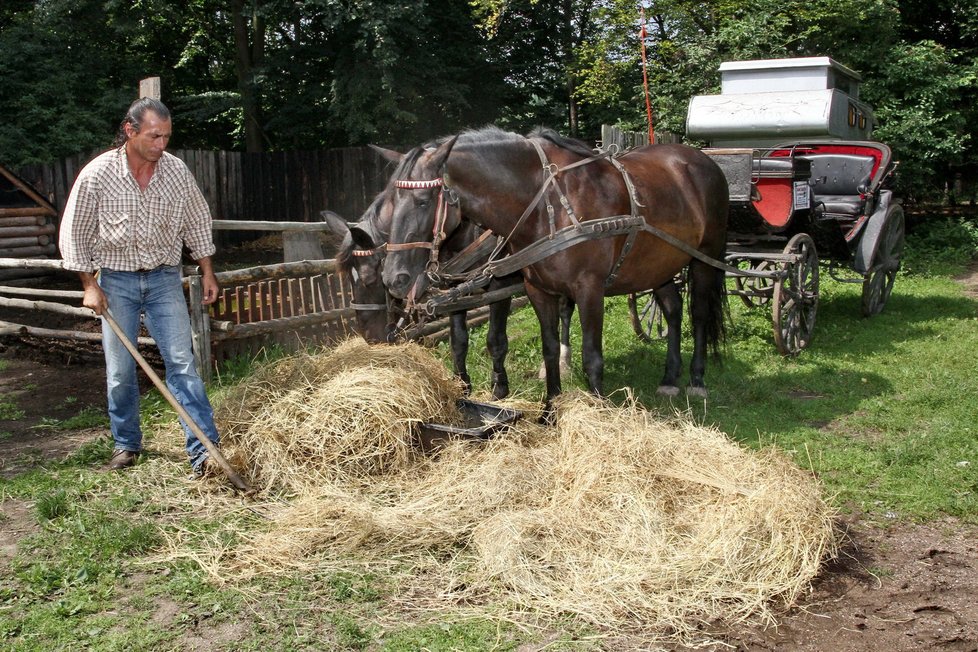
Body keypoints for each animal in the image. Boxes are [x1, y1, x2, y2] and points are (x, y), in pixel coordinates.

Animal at [378, 126, 728, 402]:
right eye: (389, 202)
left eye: (423, 201)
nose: (393, 278)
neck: (545, 205)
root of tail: (698, 159)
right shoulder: (535, 289)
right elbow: (537, 349)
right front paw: (547, 409)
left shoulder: (586, 289)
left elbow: (590, 357)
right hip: (658, 265)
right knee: (672, 309)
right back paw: (670, 377)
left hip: (704, 258)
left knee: (698, 314)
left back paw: (696, 379)